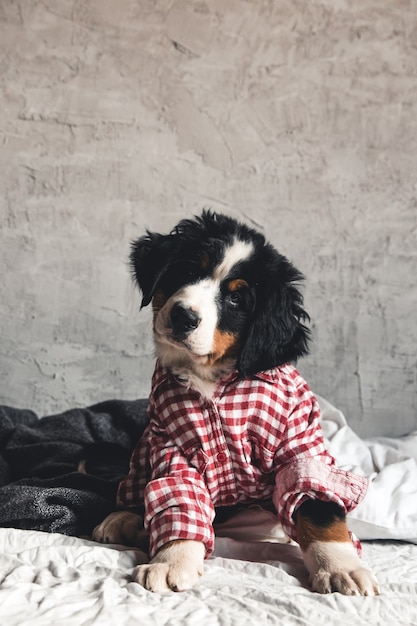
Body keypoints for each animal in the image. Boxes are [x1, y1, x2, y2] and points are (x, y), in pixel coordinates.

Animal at [92, 210, 378, 596]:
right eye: (186, 270)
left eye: (237, 300)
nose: (184, 316)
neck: (215, 382)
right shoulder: (173, 448)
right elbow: (180, 501)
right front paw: (172, 561)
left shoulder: (299, 450)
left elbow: (318, 508)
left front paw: (341, 567)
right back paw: (123, 518)